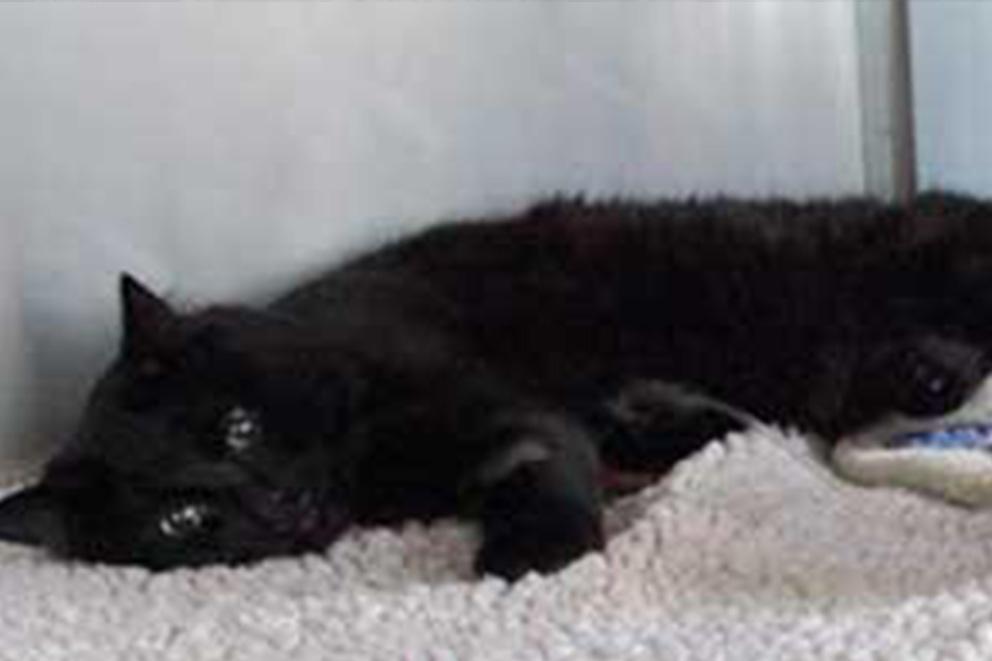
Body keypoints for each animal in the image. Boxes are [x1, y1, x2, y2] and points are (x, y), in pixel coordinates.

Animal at [1, 192, 992, 576]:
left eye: (235, 427)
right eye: (182, 520)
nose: (275, 503)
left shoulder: (506, 409)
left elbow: (536, 457)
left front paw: (534, 553)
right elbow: (642, 425)